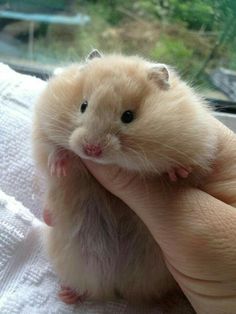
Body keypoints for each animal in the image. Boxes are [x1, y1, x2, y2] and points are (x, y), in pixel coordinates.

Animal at [32, 50, 218, 310]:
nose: (91, 149)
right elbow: (52, 147)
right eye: (83, 106)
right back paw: (68, 295)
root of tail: (118, 288)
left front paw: (176, 173)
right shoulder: (43, 128)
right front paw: (59, 166)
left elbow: (190, 169)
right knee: (90, 289)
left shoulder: (198, 147)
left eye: (128, 116)